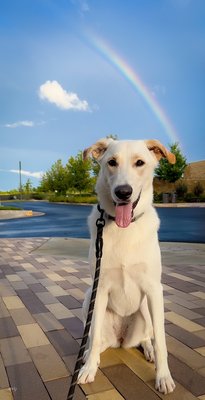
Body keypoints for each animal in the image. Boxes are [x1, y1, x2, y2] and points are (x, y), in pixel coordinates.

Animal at [78, 138, 176, 394]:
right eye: (111, 162)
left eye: (139, 163)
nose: (123, 192)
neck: (125, 227)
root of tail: (121, 339)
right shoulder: (99, 289)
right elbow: (92, 338)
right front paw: (89, 368)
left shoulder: (154, 289)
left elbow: (161, 342)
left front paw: (163, 376)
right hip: (88, 299)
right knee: (96, 340)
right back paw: (88, 357)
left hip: (147, 311)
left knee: (147, 338)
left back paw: (148, 350)